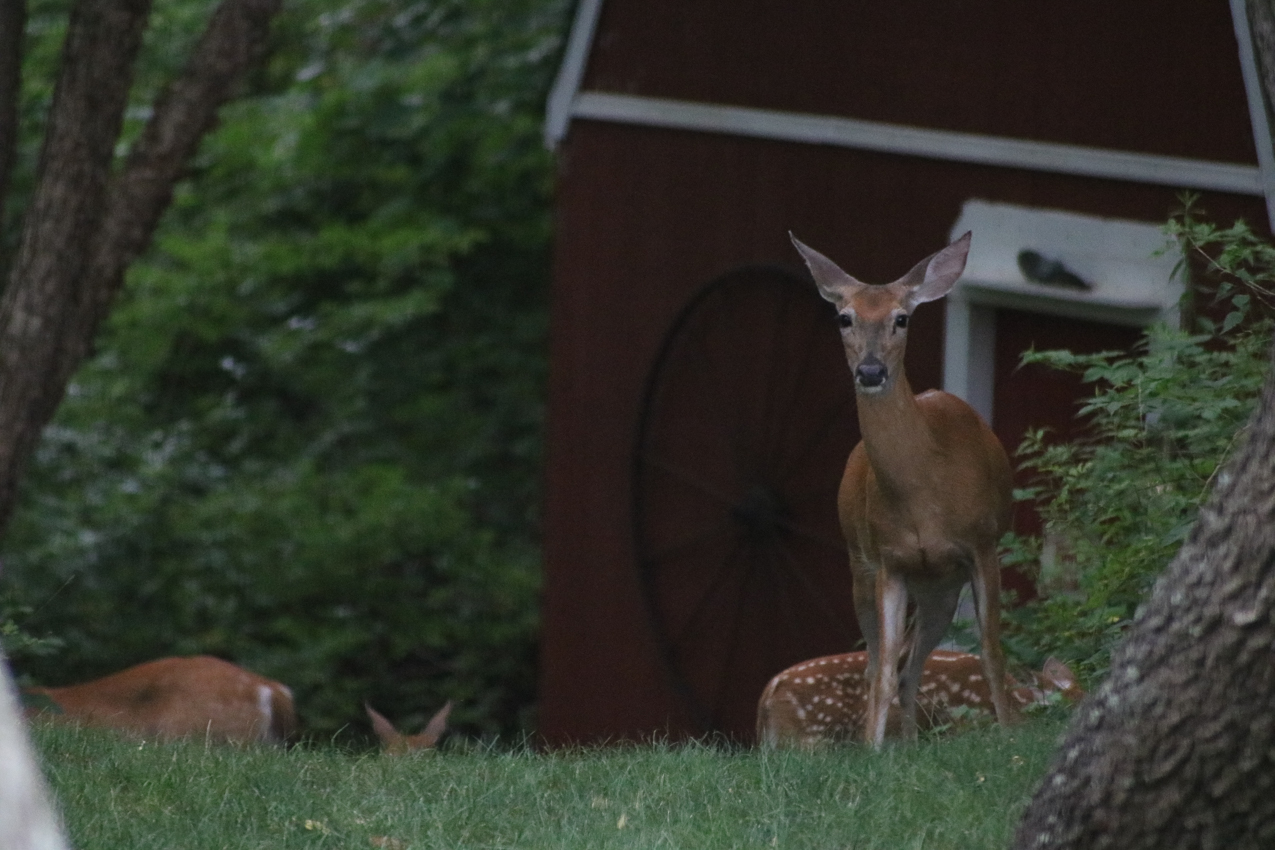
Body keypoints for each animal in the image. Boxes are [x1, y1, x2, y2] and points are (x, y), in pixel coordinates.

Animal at [790, 231, 1016, 747]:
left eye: (902, 318)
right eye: (844, 317)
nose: (871, 371)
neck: (925, 493)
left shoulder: (982, 544)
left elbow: (992, 652)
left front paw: (1011, 730)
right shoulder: (888, 559)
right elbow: (884, 671)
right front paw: (872, 750)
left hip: (941, 586)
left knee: (912, 664)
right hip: (865, 566)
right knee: (889, 665)